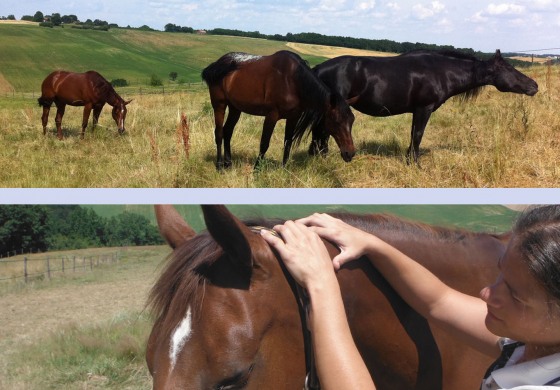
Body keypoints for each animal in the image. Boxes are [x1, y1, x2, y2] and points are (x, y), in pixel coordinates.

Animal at [200, 50, 354, 169]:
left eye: (351, 121)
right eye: (336, 121)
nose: (350, 154)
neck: (292, 80)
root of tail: (216, 65)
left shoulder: (293, 118)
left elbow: (288, 143)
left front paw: (284, 168)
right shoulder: (272, 116)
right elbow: (264, 143)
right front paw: (257, 169)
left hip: (235, 108)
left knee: (228, 131)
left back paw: (228, 163)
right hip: (219, 104)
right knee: (219, 133)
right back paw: (219, 165)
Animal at [310, 48, 540, 165]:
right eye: (509, 69)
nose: (534, 86)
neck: (441, 71)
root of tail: (318, 68)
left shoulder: (417, 111)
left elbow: (414, 135)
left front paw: (409, 160)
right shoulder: (423, 109)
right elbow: (418, 135)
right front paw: (415, 164)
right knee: (321, 135)